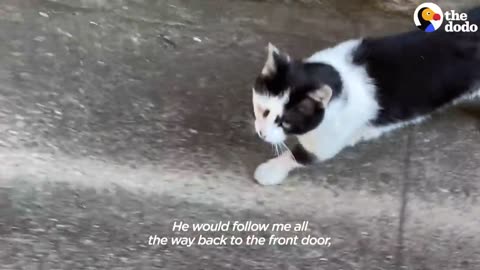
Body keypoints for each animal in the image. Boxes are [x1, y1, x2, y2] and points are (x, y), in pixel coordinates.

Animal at [251, 6, 480, 186]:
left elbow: (302, 155)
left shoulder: (328, 139)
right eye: (263, 110)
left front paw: (271, 171)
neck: (339, 77)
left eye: (286, 123)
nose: (261, 133)